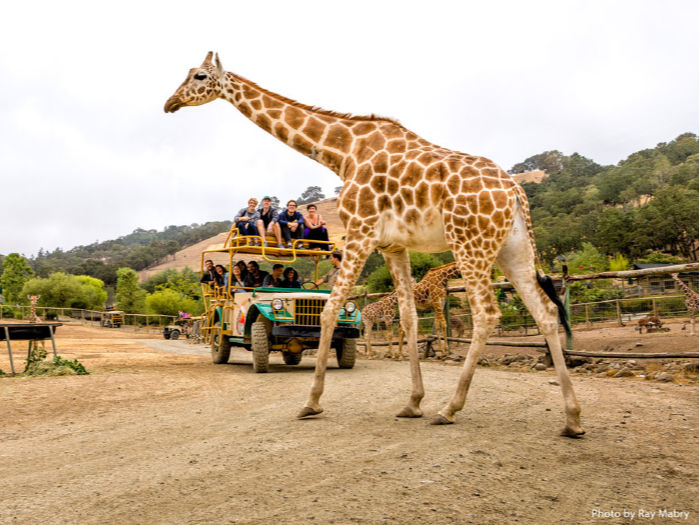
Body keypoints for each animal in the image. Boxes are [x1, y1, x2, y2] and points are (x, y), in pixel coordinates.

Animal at [165, 52, 584, 438]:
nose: (169, 103)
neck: (343, 152)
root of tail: (515, 192)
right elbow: (409, 317)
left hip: (470, 242)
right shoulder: (392, 246)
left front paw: (311, 402)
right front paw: (412, 402)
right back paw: (573, 419)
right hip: (512, 249)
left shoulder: (360, 231)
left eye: (199, 76)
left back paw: (449, 408)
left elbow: (330, 310)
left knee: (486, 313)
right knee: (546, 311)